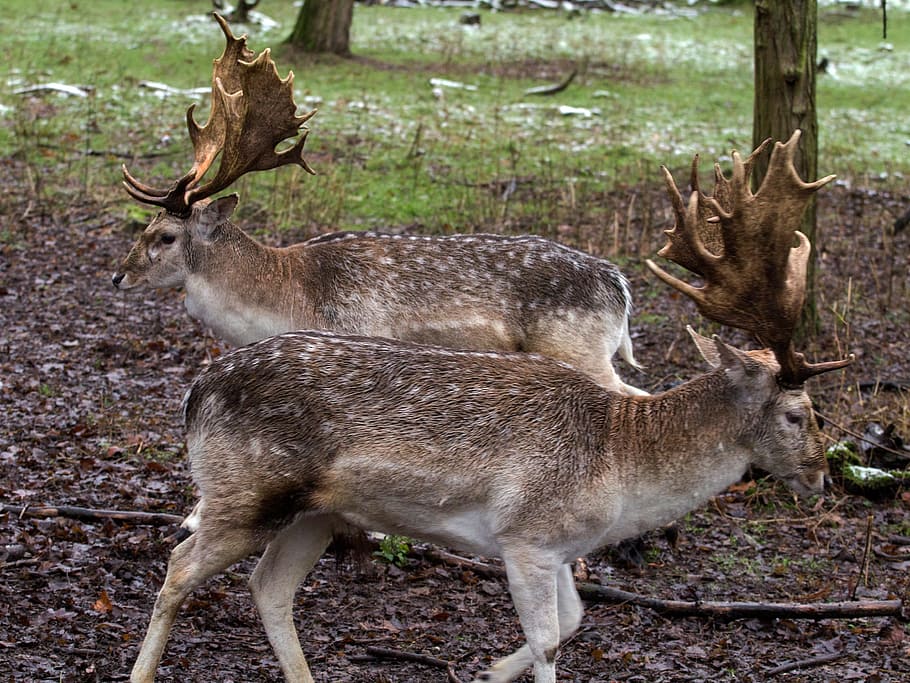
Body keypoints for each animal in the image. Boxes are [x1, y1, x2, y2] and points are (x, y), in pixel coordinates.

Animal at [111, 14, 644, 395]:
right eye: (145, 224)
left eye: (166, 236)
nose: (118, 276)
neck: (289, 299)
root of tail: (620, 288)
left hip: (578, 348)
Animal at [128, 131, 852, 683]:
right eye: (798, 412)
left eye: (161, 236)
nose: (821, 475)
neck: (623, 469)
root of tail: (195, 394)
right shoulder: (525, 536)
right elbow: (550, 640)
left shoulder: (553, 549)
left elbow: (571, 622)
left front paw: (484, 672)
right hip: (248, 491)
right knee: (180, 565)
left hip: (315, 511)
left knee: (266, 586)